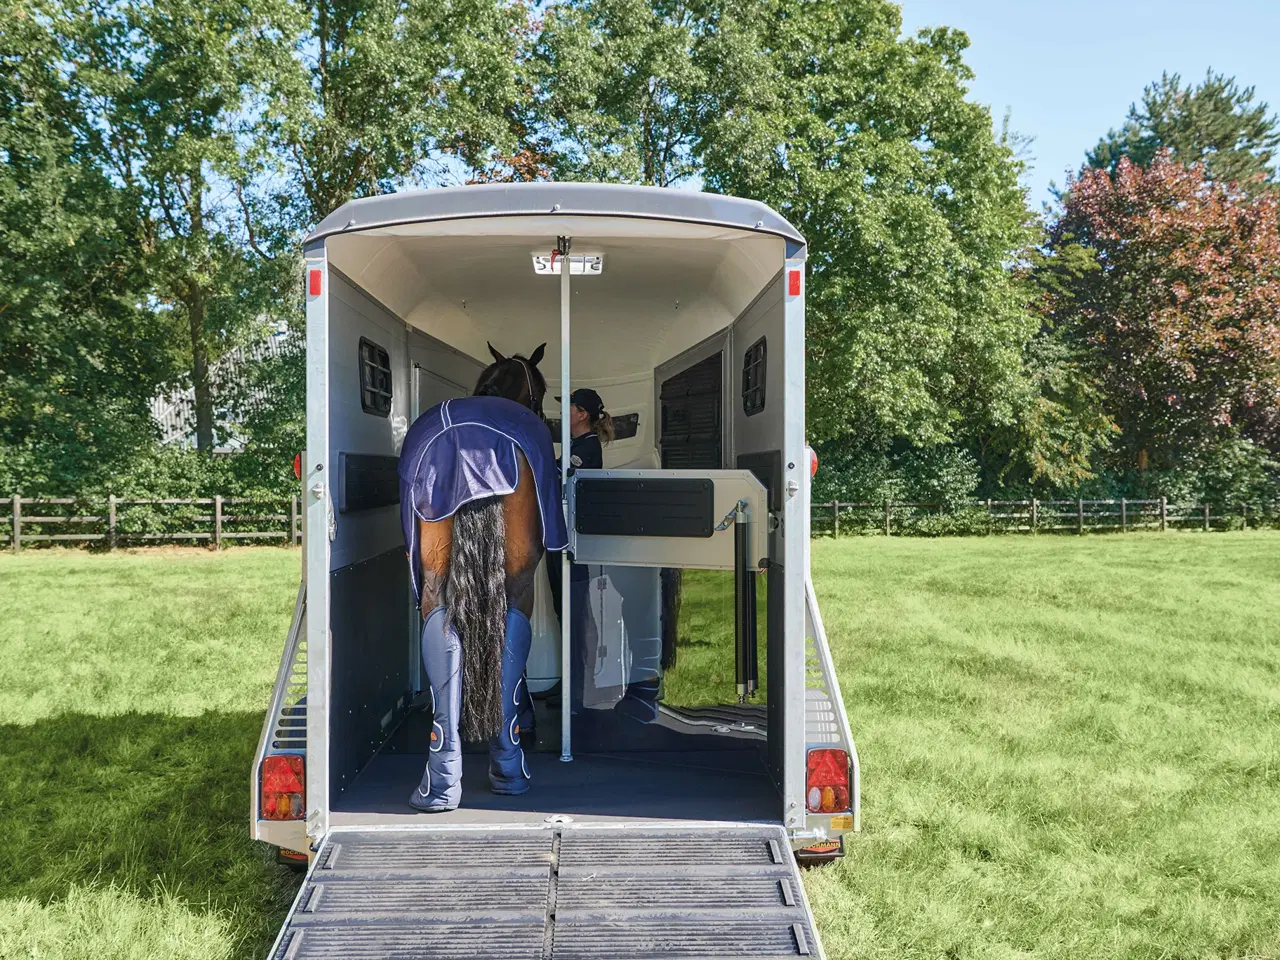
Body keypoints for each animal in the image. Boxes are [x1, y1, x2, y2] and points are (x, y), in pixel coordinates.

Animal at [398, 342, 568, 813]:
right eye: (540, 391)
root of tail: (464, 450)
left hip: (432, 574)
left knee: (442, 634)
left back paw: (438, 786)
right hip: (520, 577)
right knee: (511, 633)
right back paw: (510, 767)